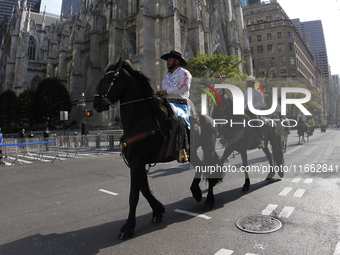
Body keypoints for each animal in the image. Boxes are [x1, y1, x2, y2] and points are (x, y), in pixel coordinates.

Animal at [93, 58, 218, 239]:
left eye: (109, 79)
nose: (96, 104)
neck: (140, 121)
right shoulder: (137, 163)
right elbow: (144, 189)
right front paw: (158, 210)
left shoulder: (137, 162)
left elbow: (134, 195)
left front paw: (128, 227)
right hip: (191, 152)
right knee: (201, 167)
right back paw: (196, 192)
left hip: (205, 148)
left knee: (208, 169)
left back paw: (208, 200)